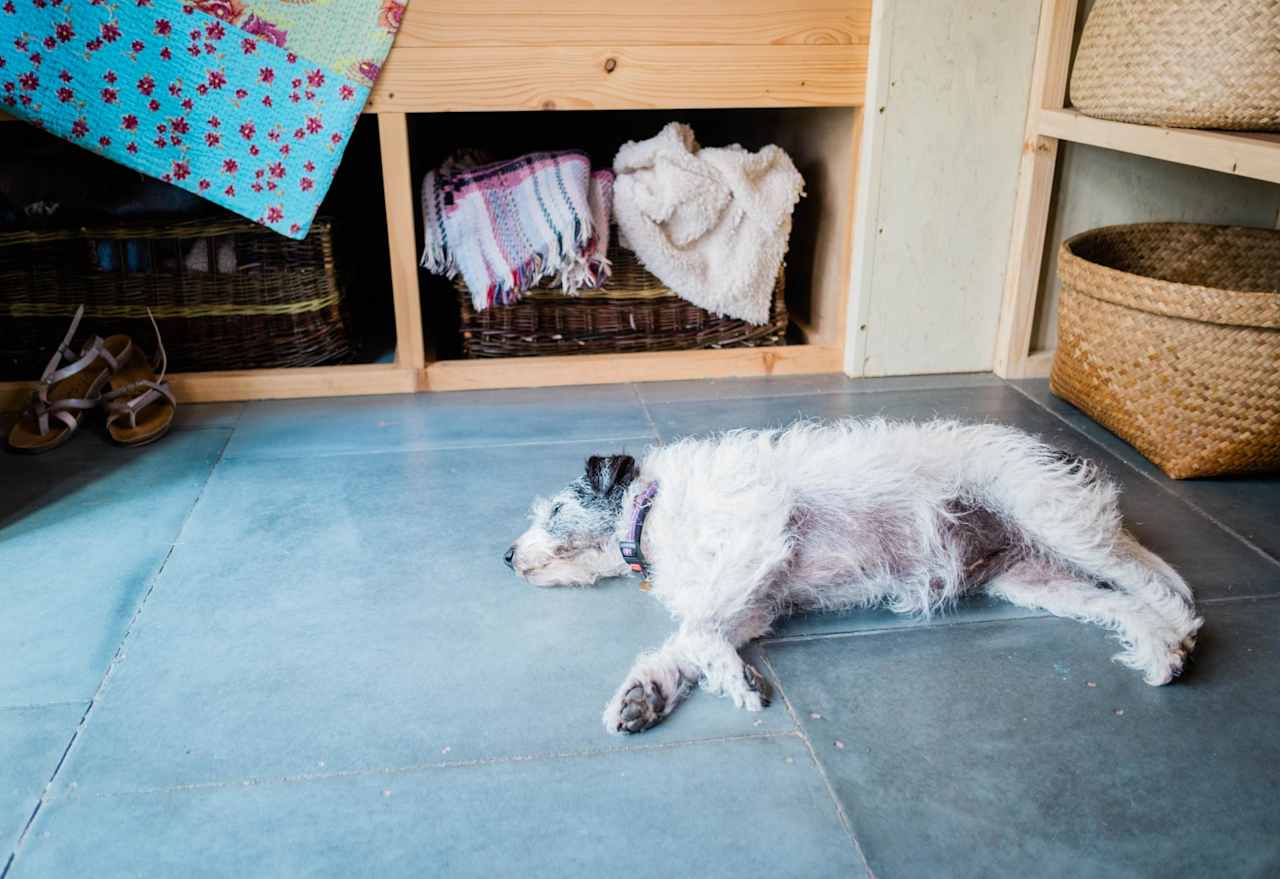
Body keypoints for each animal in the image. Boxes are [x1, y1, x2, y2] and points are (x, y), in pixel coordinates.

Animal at [506, 422, 1198, 736]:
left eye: (555, 510)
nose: (506, 556)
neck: (651, 513)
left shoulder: (756, 540)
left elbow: (700, 631)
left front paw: (736, 683)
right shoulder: (749, 599)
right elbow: (690, 641)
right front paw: (645, 694)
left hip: (1060, 524)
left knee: (1155, 586)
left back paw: (1179, 634)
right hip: (1034, 578)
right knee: (1120, 604)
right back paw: (1158, 648)